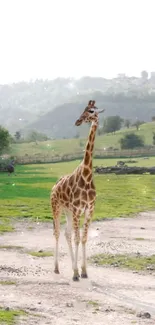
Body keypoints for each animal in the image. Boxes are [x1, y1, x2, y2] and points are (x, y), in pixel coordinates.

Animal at [51, 100, 104, 280]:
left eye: (92, 111)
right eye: (84, 109)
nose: (78, 121)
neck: (87, 175)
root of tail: (54, 187)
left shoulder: (89, 209)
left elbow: (84, 238)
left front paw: (84, 271)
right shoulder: (77, 209)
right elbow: (77, 238)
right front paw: (75, 273)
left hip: (67, 211)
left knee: (66, 233)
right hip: (57, 208)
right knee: (57, 233)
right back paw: (56, 268)